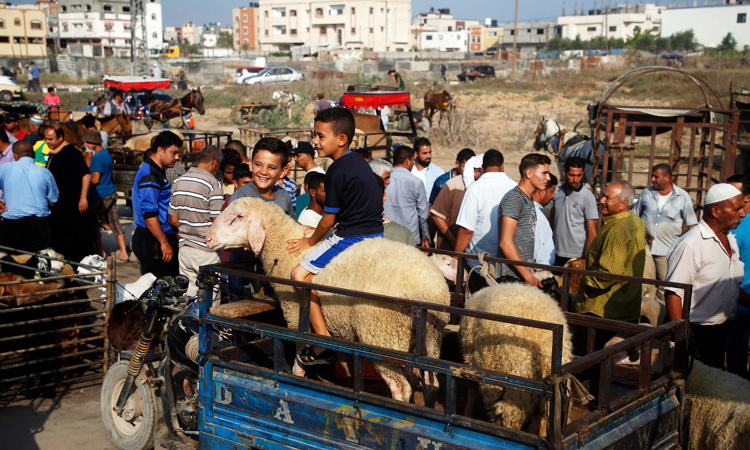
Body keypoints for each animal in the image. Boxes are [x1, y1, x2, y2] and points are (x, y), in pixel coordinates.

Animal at [206, 199, 450, 402]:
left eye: (239, 216)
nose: (208, 239)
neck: (284, 247)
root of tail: (429, 291)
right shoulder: (341, 328)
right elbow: (345, 360)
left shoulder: (296, 314)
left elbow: (300, 350)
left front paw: (299, 374)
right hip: (419, 339)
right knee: (420, 379)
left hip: (381, 334)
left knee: (401, 387)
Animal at [458, 284, 576, 434]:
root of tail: (545, 353)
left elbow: (472, 392)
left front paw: (467, 414)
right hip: (549, 400)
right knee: (543, 421)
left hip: (516, 390)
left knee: (509, 418)